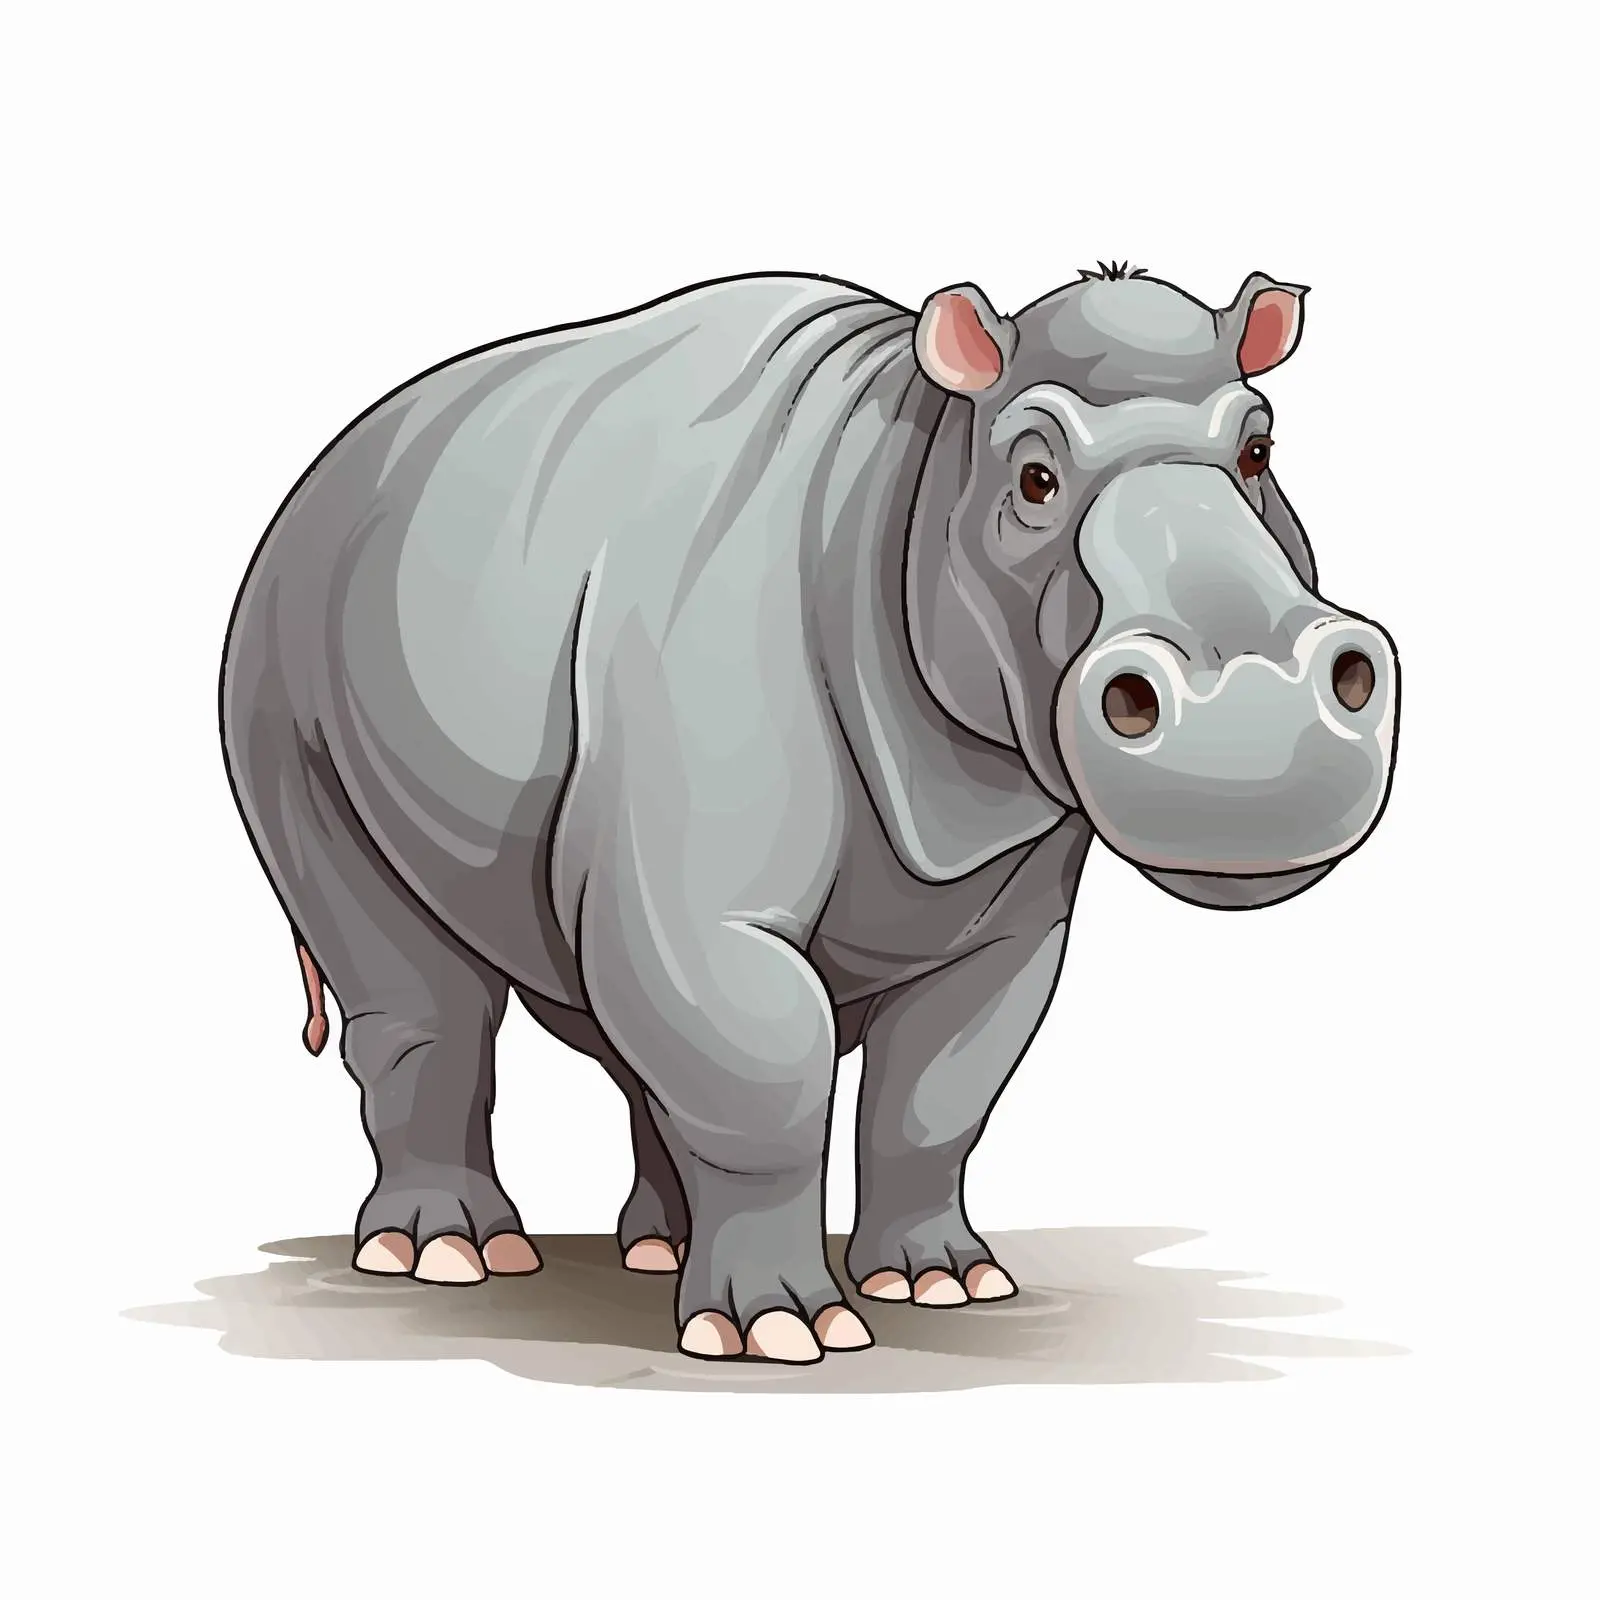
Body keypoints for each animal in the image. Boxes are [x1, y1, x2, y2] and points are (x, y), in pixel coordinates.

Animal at [220, 263, 1399, 1364]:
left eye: (1259, 454)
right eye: (1033, 476)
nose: (1251, 708)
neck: (915, 473)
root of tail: (333, 457)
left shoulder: (1013, 901)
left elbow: (938, 1088)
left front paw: (942, 1284)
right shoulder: (709, 886)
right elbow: (762, 1070)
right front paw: (779, 1332)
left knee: (617, 1010)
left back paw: (654, 1252)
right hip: (276, 659)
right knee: (418, 987)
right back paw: (448, 1257)